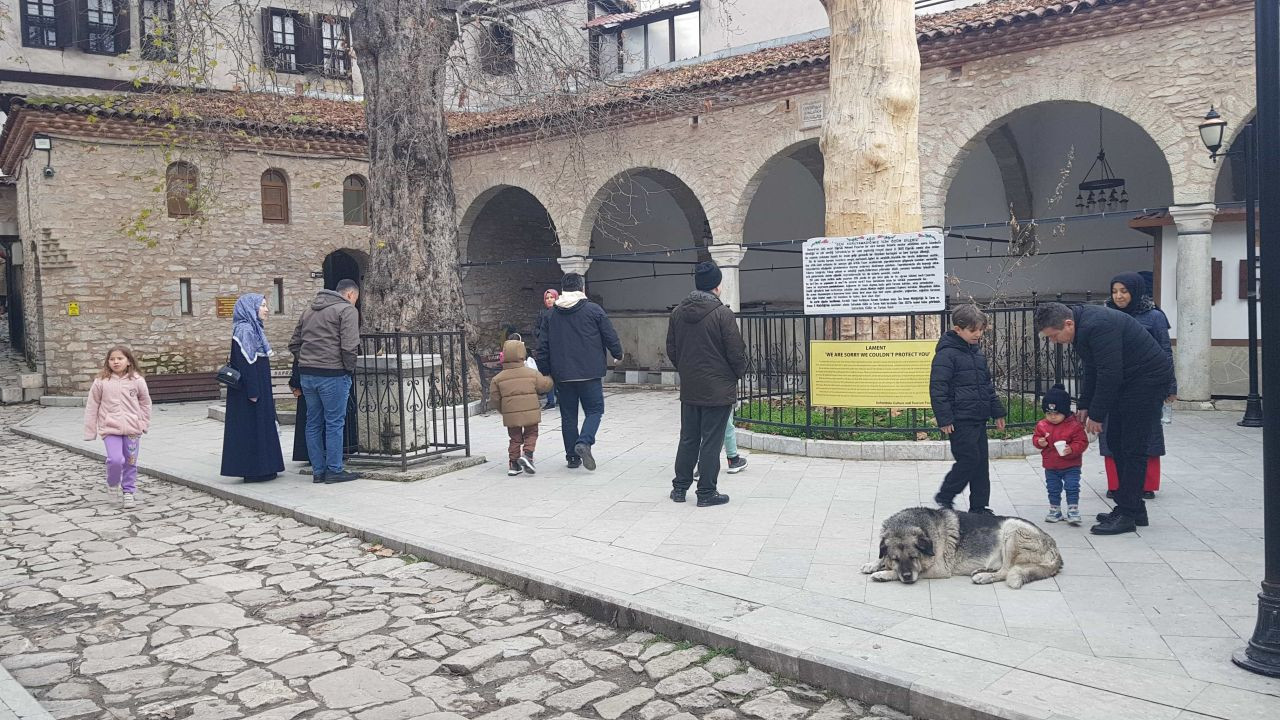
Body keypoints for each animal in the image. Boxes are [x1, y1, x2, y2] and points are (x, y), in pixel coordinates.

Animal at [865, 502, 1064, 586]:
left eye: (914, 557)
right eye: (896, 559)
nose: (907, 577)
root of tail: (1055, 549)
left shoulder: (939, 569)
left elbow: (911, 571)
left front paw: (884, 573)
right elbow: (881, 556)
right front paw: (875, 564)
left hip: (1012, 529)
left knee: (1006, 571)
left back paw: (985, 577)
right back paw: (983, 570)